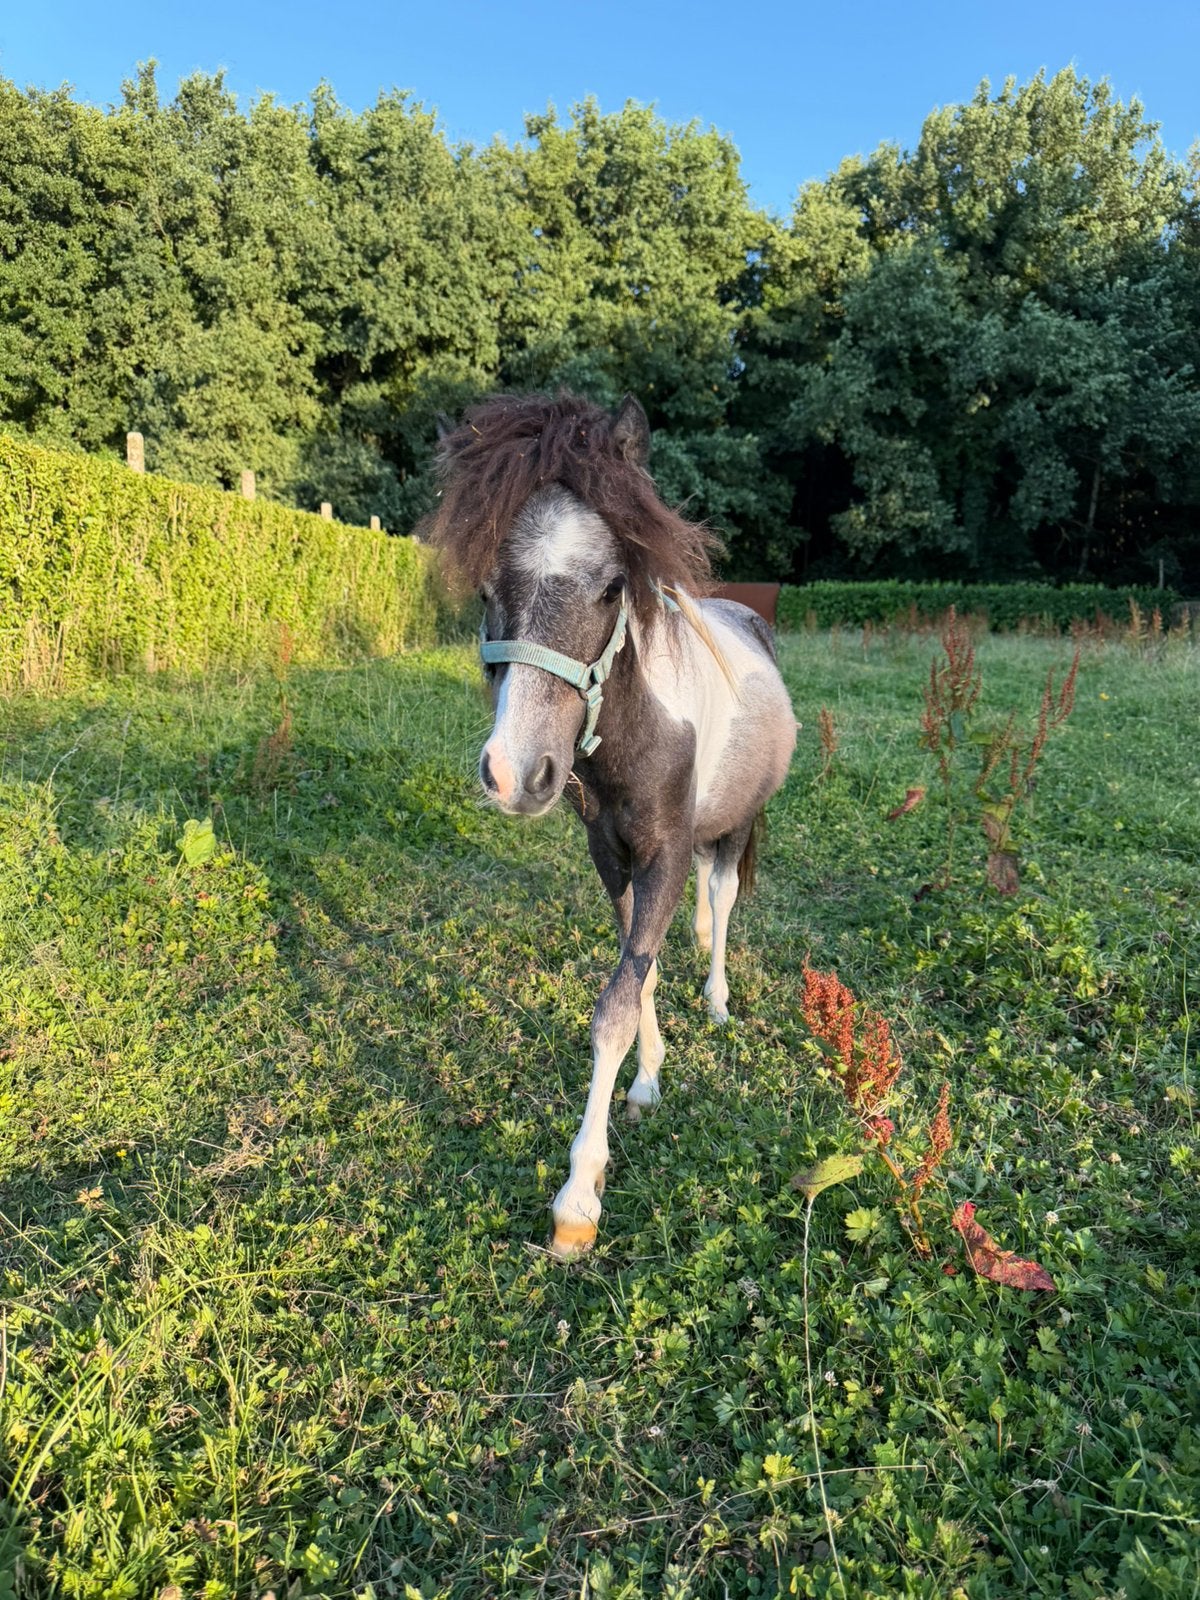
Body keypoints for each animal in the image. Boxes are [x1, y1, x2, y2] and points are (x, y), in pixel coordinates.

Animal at [427, 391, 796, 1257]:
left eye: (611, 588)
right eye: (487, 588)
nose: (515, 773)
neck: (635, 733)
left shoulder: (664, 854)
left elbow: (615, 1008)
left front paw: (578, 1201)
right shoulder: (613, 856)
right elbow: (641, 970)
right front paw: (651, 1081)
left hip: (738, 824)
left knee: (723, 898)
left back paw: (719, 998)